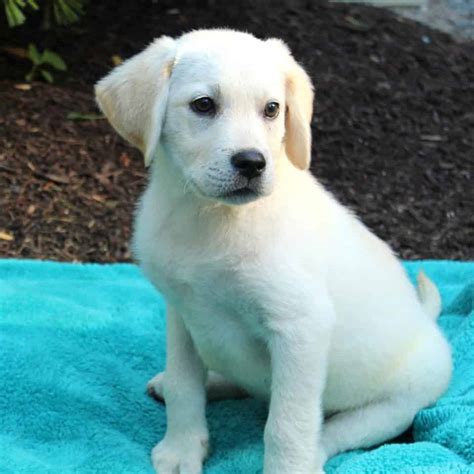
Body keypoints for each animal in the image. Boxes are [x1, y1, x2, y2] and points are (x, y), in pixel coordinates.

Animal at [95, 29, 452, 474]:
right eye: (203, 105)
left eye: (271, 109)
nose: (252, 163)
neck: (211, 218)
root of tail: (428, 324)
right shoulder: (181, 311)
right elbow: (184, 386)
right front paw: (182, 448)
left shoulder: (301, 328)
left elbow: (286, 424)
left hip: (393, 406)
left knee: (329, 432)